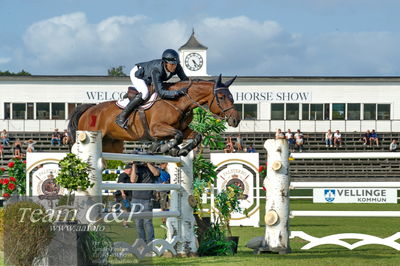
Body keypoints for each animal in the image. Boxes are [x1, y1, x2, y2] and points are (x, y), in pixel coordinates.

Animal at [68, 74, 241, 156]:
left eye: (231, 96)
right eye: (221, 97)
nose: (236, 120)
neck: (178, 102)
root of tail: (89, 110)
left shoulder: (184, 129)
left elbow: (196, 136)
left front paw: (180, 150)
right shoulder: (156, 128)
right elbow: (177, 136)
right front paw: (165, 148)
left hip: (111, 144)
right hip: (90, 134)